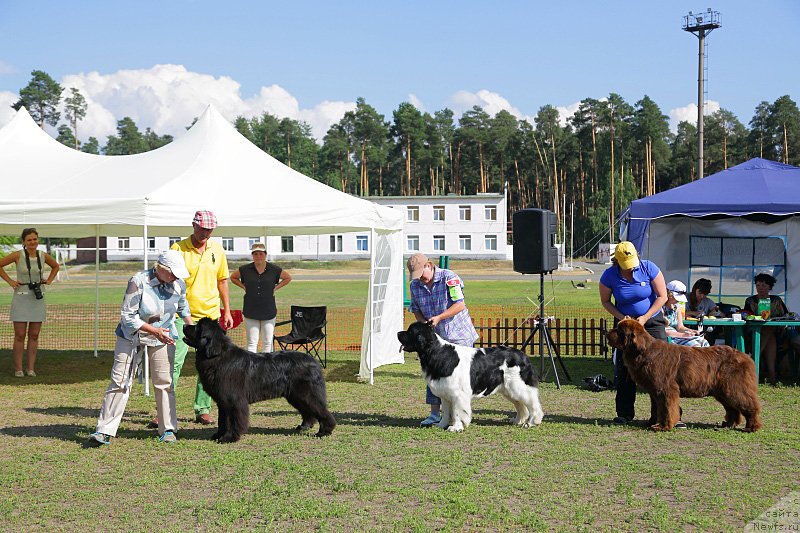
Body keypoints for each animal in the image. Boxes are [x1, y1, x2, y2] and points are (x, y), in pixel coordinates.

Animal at [183, 316, 336, 440]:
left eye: (197, 327)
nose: (184, 325)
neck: (218, 355)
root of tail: (314, 361)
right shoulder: (223, 401)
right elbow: (222, 420)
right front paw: (218, 435)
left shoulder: (234, 400)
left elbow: (233, 420)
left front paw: (229, 437)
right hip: (296, 395)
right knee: (308, 411)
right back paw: (304, 426)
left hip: (306, 393)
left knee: (321, 411)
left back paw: (324, 431)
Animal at [398, 320, 544, 432]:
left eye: (410, 331)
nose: (398, 333)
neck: (435, 352)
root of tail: (523, 355)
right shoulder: (445, 392)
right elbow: (445, 411)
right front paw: (441, 425)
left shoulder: (458, 394)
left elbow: (457, 411)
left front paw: (456, 427)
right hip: (508, 389)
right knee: (521, 405)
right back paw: (518, 420)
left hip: (518, 386)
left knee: (532, 404)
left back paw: (532, 422)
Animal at [608, 318, 760, 430]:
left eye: (619, 331)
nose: (608, 332)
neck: (644, 351)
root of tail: (745, 356)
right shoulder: (655, 391)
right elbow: (658, 408)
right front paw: (654, 423)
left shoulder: (666, 389)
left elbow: (667, 408)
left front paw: (663, 426)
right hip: (722, 391)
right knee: (733, 408)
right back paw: (728, 424)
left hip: (734, 387)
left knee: (749, 404)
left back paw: (751, 427)